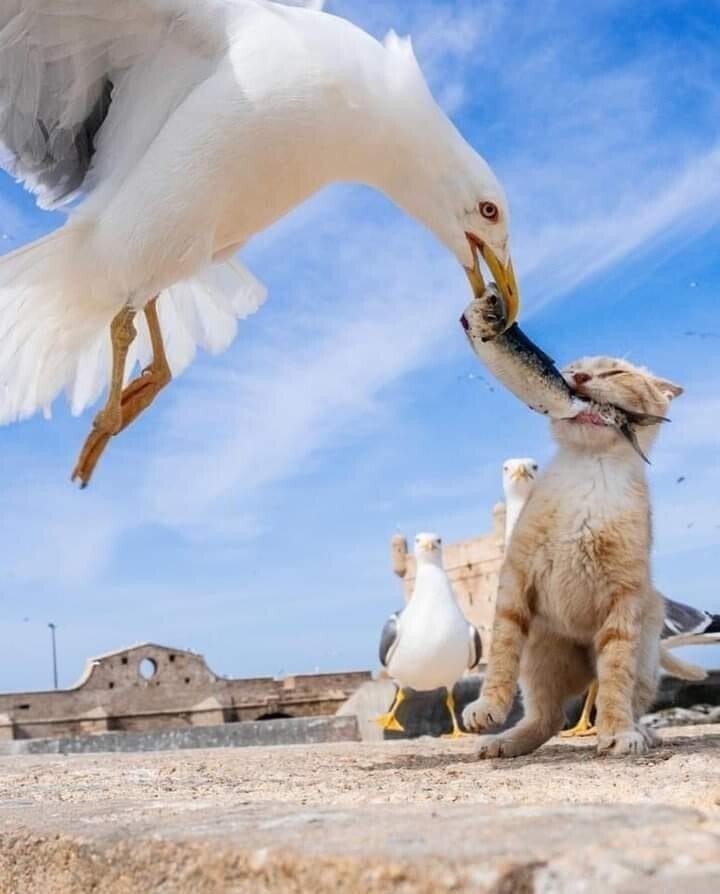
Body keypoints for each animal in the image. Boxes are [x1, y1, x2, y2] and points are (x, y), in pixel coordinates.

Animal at [462, 356, 680, 756]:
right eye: (574, 366)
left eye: (615, 373)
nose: (579, 377)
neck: (589, 472)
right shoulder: (515, 579)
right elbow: (501, 651)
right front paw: (488, 705)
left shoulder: (625, 599)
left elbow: (615, 677)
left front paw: (617, 732)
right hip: (539, 659)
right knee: (547, 718)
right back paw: (506, 741)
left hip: (645, 657)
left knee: (621, 698)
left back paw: (640, 731)